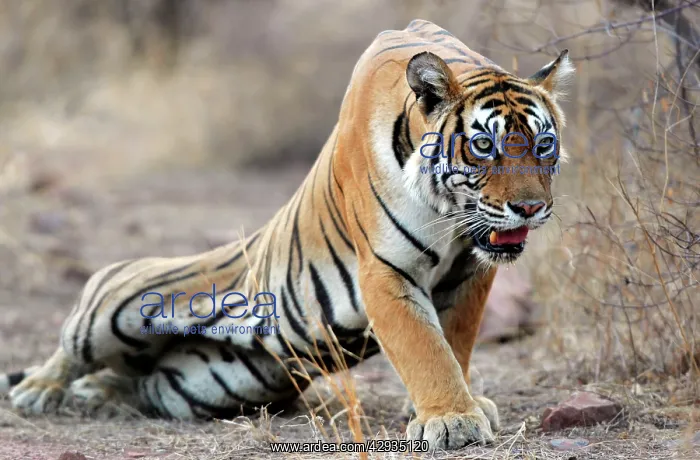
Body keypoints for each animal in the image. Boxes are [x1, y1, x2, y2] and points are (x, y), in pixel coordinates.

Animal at [0, 19, 572, 451]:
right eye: (484, 147)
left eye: (543, 144)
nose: (530, 208)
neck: (453, 218)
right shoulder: (386, 271)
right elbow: (425, 348)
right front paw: (453, 418)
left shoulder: (470, 271)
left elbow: (455, 341)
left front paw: (453, 407)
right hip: (118, 303)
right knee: (70, 345)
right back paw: (41, 390)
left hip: (197, 387)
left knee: (129, 378)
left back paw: (94, 393)